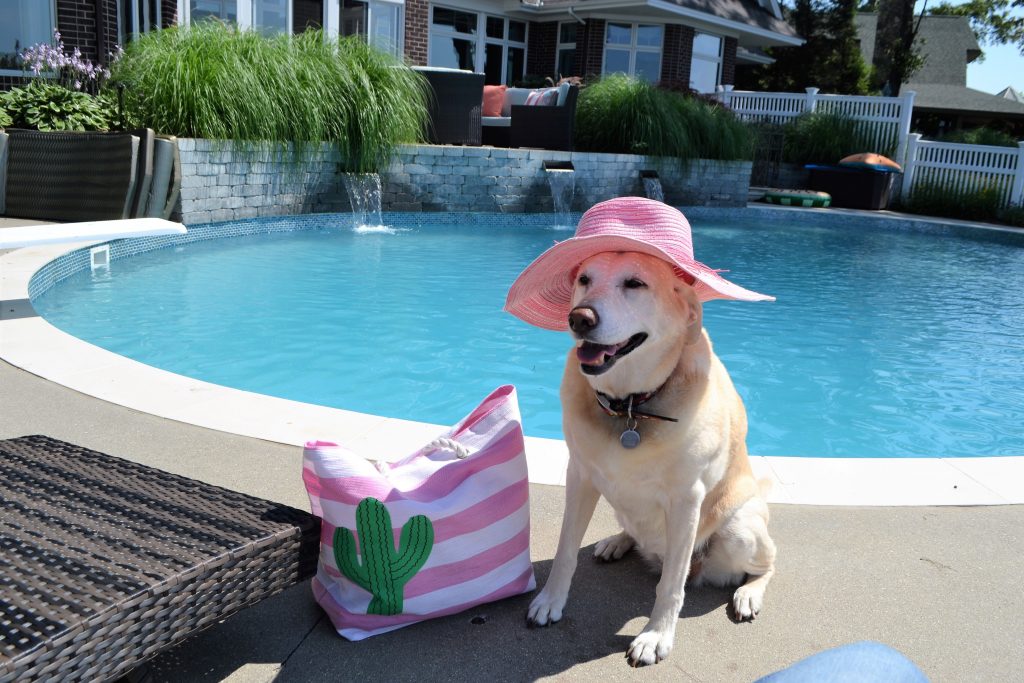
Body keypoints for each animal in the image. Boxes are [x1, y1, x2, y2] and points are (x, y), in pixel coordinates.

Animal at [503, 197, 774, 667]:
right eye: (584, 279)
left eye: (635, 283)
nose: (579, 318)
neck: (630, 406)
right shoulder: (580, 476)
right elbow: (565, 553)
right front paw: (551, 602)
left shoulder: (686, 501)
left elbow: (671, 587)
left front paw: (656, 635)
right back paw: (617, 541)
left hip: (738, 529)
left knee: (767, 564)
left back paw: (748, 594)